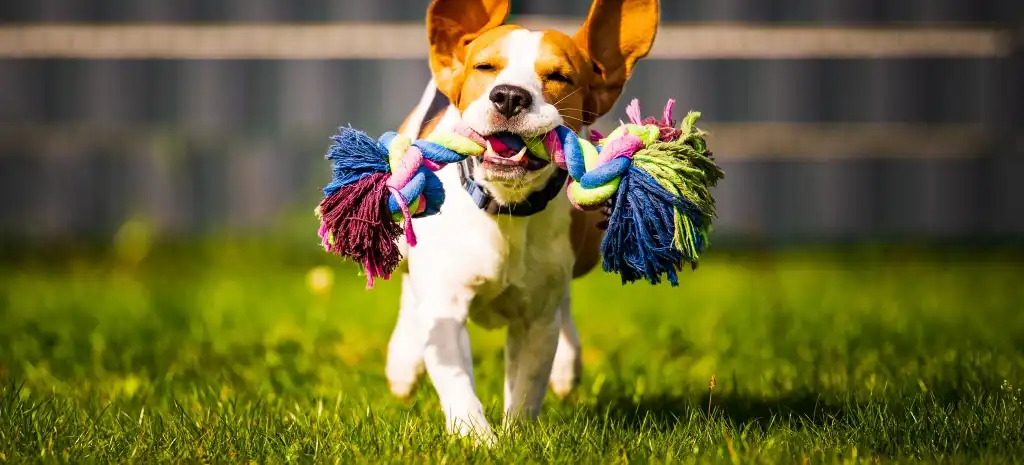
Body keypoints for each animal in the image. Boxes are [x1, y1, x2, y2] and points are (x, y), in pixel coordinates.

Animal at [382, 0, 655, 442]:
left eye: (559, 76)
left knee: (565, 304)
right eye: (485, 67)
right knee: (410, 288)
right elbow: (456, 380)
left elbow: (528, 386)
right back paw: (403, 363)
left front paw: (515, 438)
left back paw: (566, 365)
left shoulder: (536, 319)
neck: (505, 207)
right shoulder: (446, 304)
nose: (509, 96)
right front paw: (476, 439)